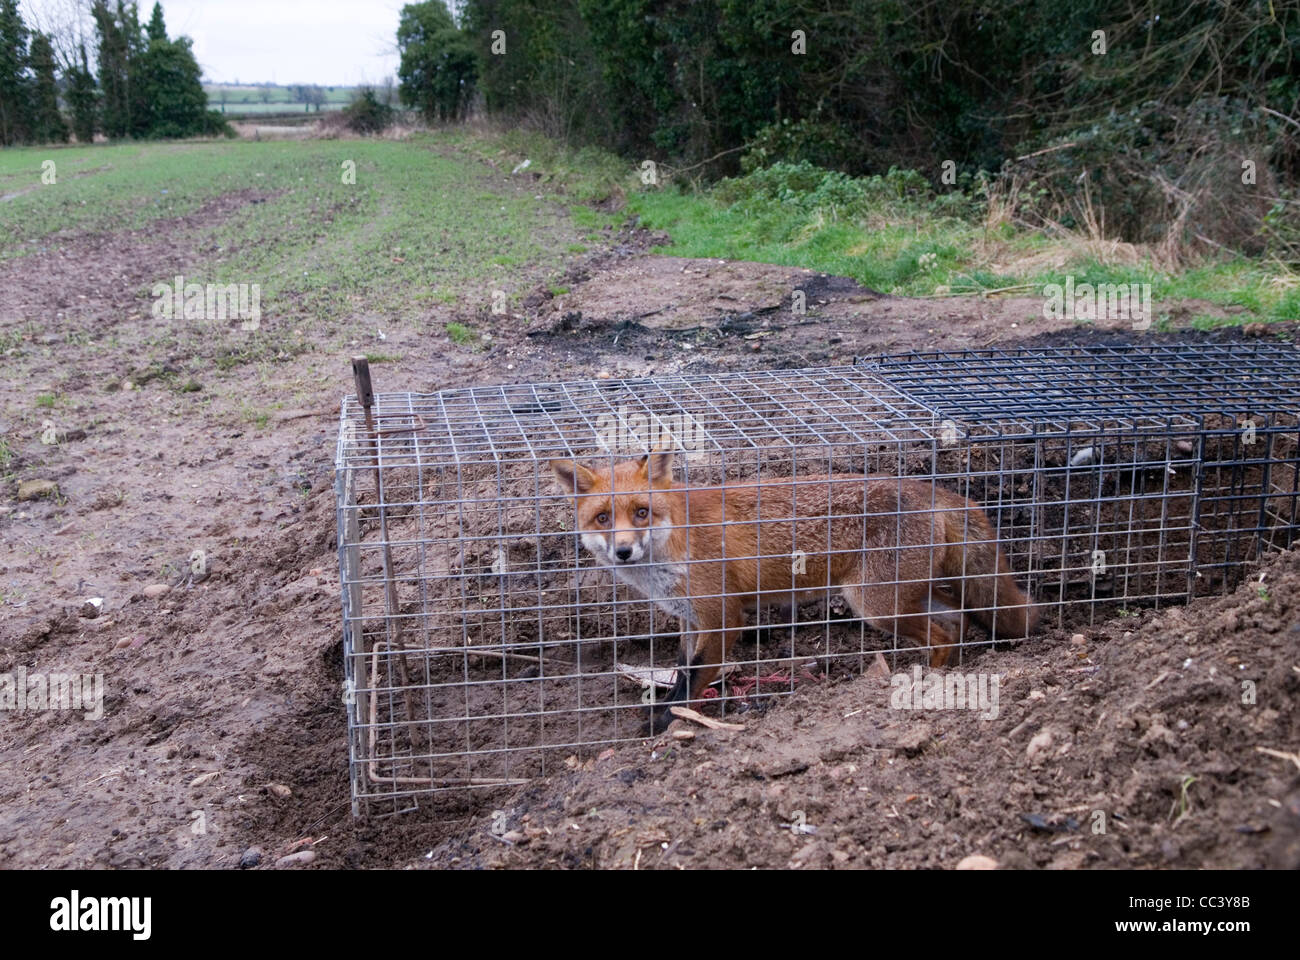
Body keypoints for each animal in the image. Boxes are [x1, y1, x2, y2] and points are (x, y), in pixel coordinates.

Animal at [550, 450, 1038, 734]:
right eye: (602, 518)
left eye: (641, 512)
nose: (623, 551)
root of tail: (937, 491)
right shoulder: (691, 620)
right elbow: (684, 670)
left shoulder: (723, 617)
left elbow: (692, 680)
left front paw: (663, 721)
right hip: (899, 599)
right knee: (956, 620)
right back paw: (944, 675)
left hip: (874, 604)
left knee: (943, 631)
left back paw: (927, 684)